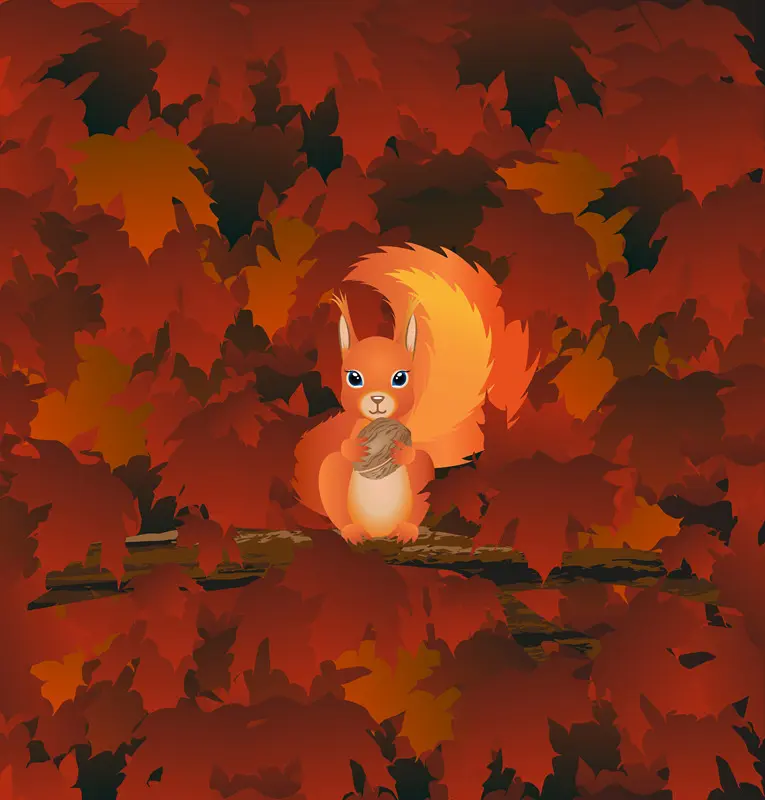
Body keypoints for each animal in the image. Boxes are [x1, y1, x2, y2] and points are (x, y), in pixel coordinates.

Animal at [292, 243, 536, 544]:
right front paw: (355, 448)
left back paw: (406, 530)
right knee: (335, 477)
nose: (377, 399)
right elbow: (344, 447)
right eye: (353, 378)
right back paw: (352, 531)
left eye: (400, 378)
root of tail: (378, 532)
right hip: (332, 477)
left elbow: (418, 456)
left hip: (418, 492)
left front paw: (400, 453)